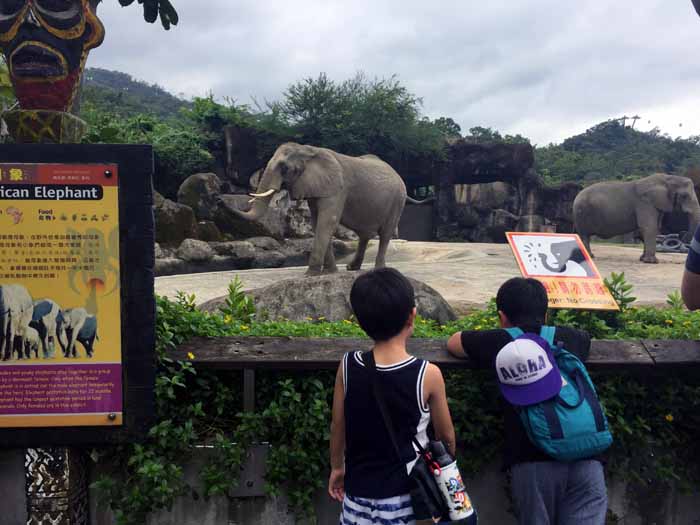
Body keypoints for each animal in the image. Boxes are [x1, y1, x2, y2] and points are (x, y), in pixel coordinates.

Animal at [227, 143, 430, 274]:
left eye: (284, 168)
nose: (221, 201)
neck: (309, 150)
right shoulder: (317, 188)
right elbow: (318, 222)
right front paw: (330, 272)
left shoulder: (337, 188)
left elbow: (328, 221)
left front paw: (311, 274)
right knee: (365, 234)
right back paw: (352, 268)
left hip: (397, 200)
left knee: (385, 233)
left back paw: (379, 269)